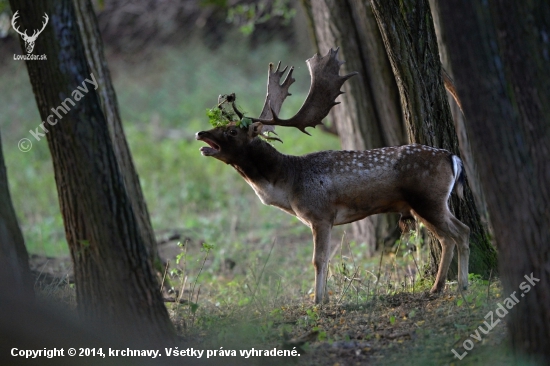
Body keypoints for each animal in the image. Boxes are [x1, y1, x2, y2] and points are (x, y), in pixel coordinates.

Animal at [196, 49, 472, 306]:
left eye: (232, 131)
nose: (200, 133)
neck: (289, 183)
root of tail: (452, 157)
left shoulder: (320, 214)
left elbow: (318, 260)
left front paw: (318, 301)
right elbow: (326, 260)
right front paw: (325, 298)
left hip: (428, 199)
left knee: (461, 232)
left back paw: (461, 287)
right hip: (421, 206)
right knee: (448, 237)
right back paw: (437, 288)